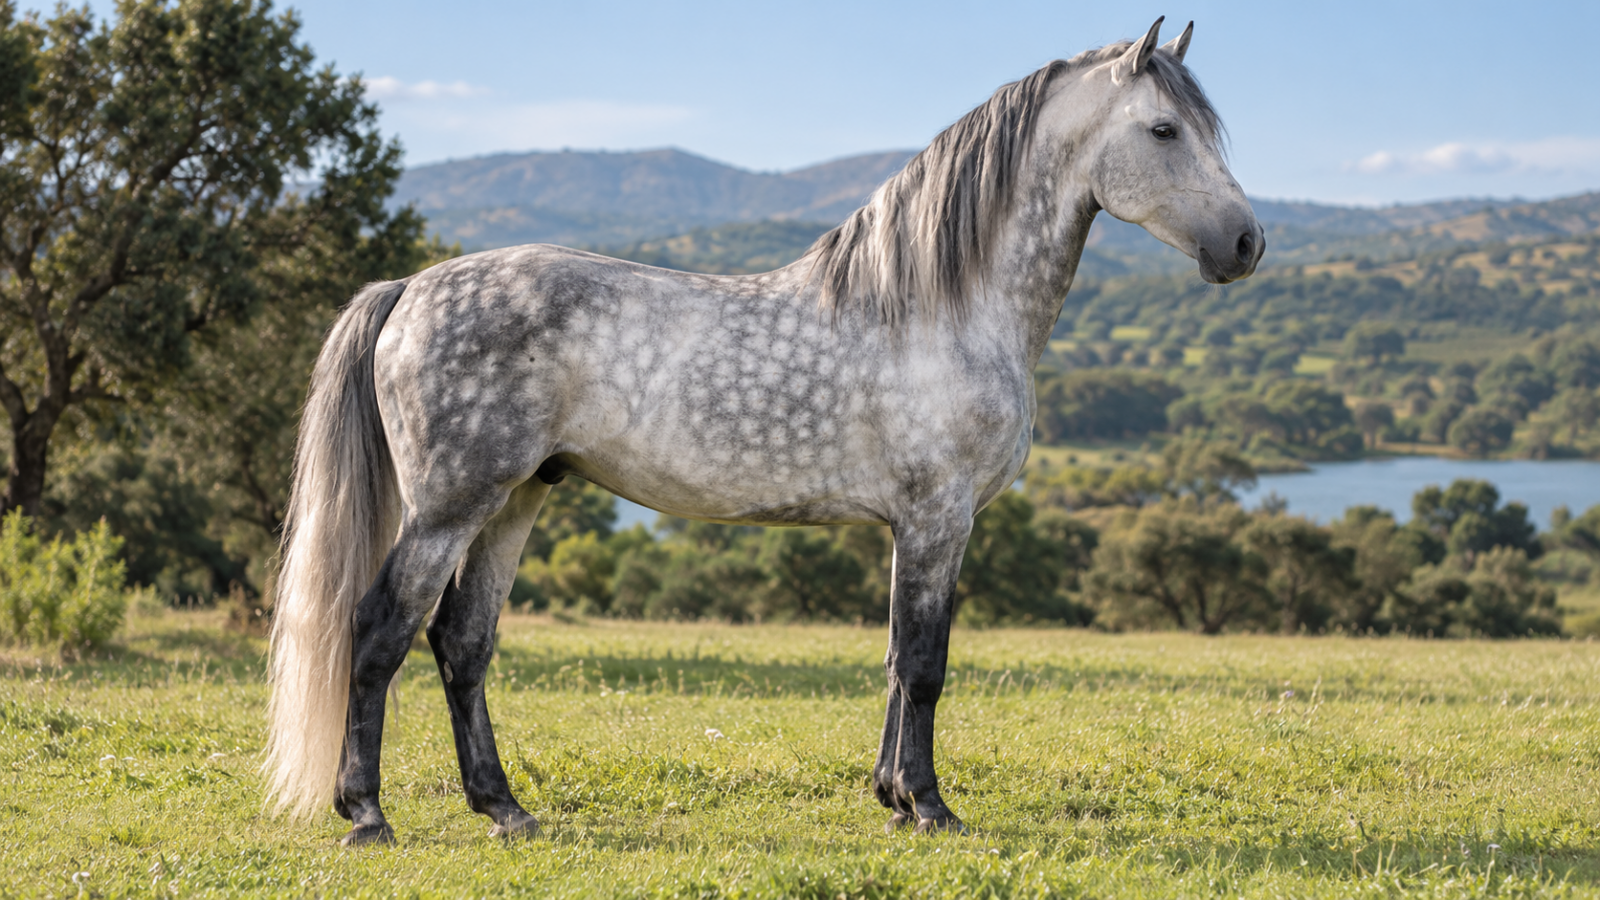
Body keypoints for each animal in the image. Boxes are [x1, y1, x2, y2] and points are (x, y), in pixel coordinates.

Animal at [264, 17, 1263, 845]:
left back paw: (504, 808)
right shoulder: (940, 517)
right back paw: (367, 816)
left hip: (515, 500)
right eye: (1164, 131)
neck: (942, 308)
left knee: (461, 643)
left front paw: (890, 798)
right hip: (450, 505)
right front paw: (930, 805)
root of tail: (410, 289)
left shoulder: (911, 526)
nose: (1247, 244)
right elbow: (927, 664)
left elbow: (895, 658)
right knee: (380, 629)